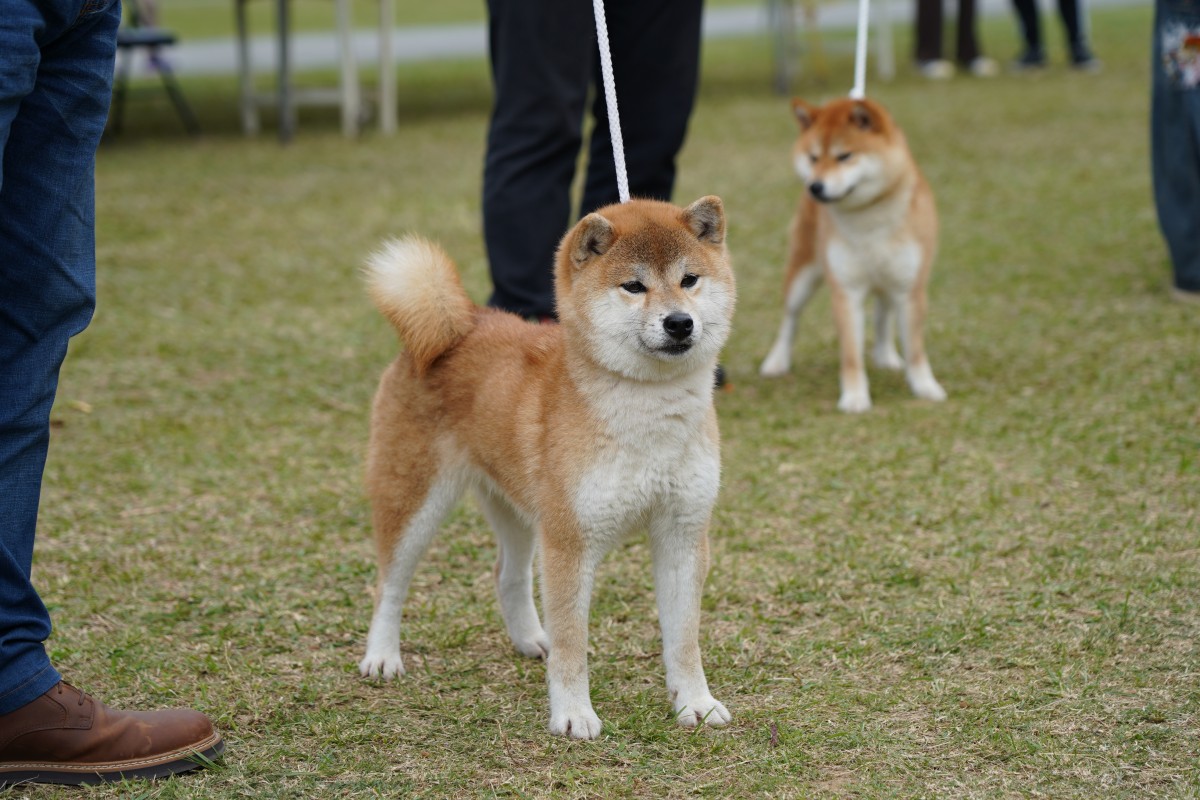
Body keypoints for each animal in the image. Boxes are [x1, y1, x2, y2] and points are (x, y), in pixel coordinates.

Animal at [355, 196, 734, 743]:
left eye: (690, 279)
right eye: (633, 286)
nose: (680, 322)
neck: (649, 410)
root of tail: (462, 323)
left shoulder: (682, 534)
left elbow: (684, 639)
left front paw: (696, 704)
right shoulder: (570, 543)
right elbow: (574, 643)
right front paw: (573, 714)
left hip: (518, 510)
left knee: (506, 574)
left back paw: (532, 638)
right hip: (414, 499)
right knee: (391, 582)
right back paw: (382, 656)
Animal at [758, 97, 945, 412]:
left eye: (844, 156)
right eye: (813, 157)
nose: (814, 186)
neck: (869, 218)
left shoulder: (910, 287)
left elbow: (915, 349)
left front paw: (925, 387)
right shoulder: (846, 290)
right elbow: (851, 353)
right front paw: (855, 397)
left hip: (888, 281)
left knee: (883, 315)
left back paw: (886, 356)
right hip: (802, 276)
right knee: (790, 319)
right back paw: (777, 361)